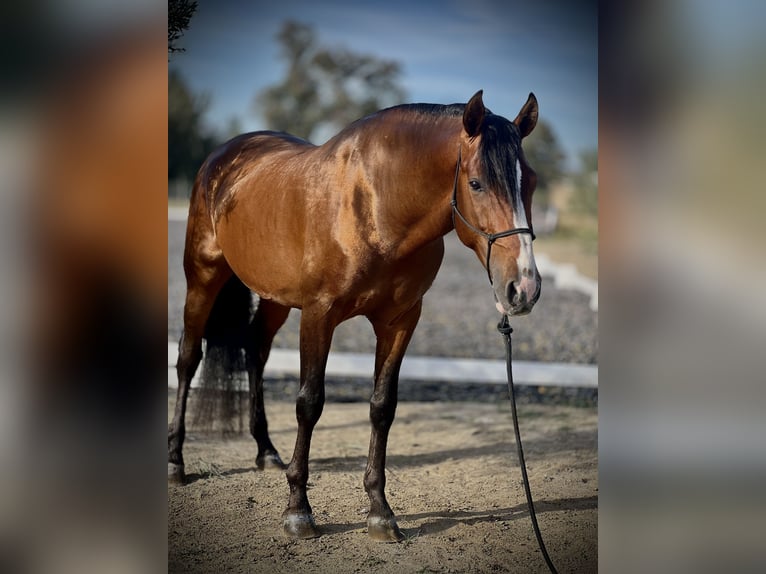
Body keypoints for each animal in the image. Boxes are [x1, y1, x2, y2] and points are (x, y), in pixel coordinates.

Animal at [170, 91, 540, 544]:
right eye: (476, 183)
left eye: (532, 182)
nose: (524, 288)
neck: (374, 205)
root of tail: (224, 155)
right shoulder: (319, 314)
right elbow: (309, 403)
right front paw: (298, 511)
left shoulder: (401, 320)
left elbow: (383, 407)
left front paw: (380, 512)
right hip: (203, 278)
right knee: (188, 359)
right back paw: (176, 462)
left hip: (275, 299)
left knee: (255, 352)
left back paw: (266, 451)